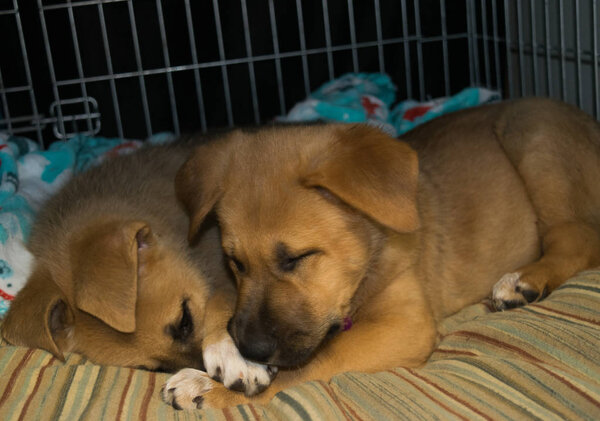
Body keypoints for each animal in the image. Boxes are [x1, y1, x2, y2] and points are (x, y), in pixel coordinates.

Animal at [162, 97, 600, 406]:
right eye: (235, 262)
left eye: (297, 258)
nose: (251, 349)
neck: (371, 257)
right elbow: (222, 298)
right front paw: (228, 358)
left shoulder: (405, 324)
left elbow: (312, 361)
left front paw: (215, 389)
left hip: (532, 136)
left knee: (578, 238)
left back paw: (523, 281)